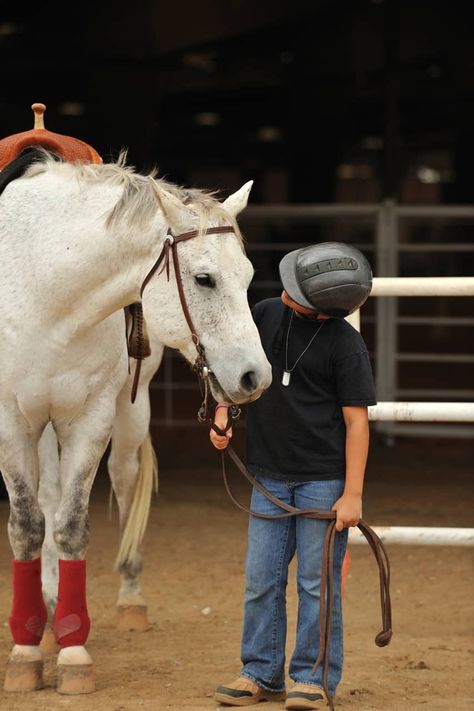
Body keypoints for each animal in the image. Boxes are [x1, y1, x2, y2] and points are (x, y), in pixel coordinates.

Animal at [0, 152, 272, 696]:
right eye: (205, 279)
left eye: (249, 275)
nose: (255, 376)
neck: (41, 285)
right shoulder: (11, 422)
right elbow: (27, 526)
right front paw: (27, 648)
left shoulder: (92, 417)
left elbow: (71, 526)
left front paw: (74, 651)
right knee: (45, 499)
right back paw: (46, 614)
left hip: (129, 412)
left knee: (122, 481)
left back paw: (126, 600)